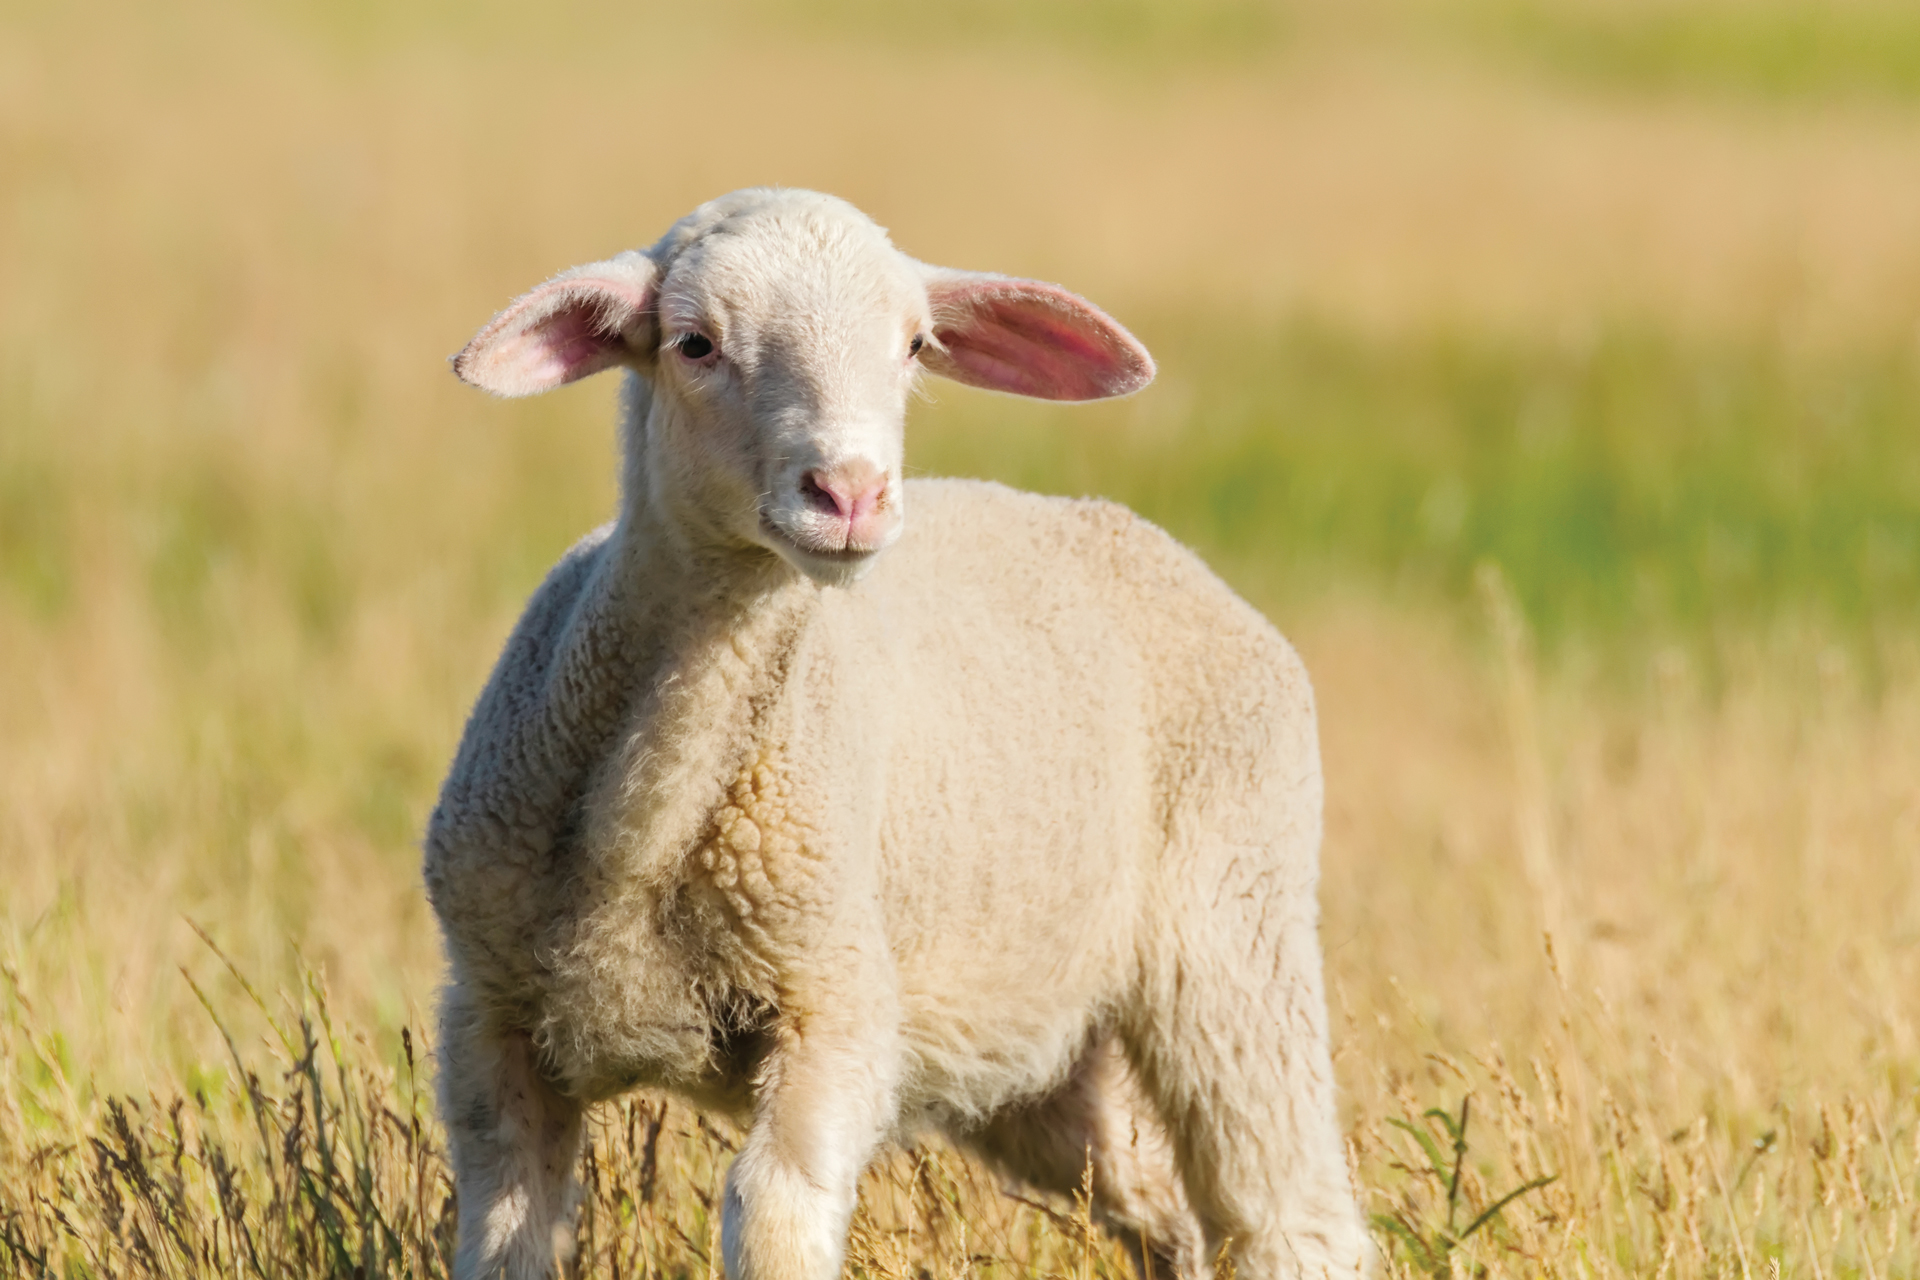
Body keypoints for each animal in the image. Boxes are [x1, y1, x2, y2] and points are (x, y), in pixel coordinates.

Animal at [424, 188, 1368, 1280]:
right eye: (695, 343)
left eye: (915, 346)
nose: (851, 492)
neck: (643, 835)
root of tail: (1149, 540)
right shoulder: (487, 1021)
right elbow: (504, 1235)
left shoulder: (837, 1002)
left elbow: (775, 1211)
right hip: (1035, 1042)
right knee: (1155, 1198)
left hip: (1236, 932)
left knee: (1289, 1214)